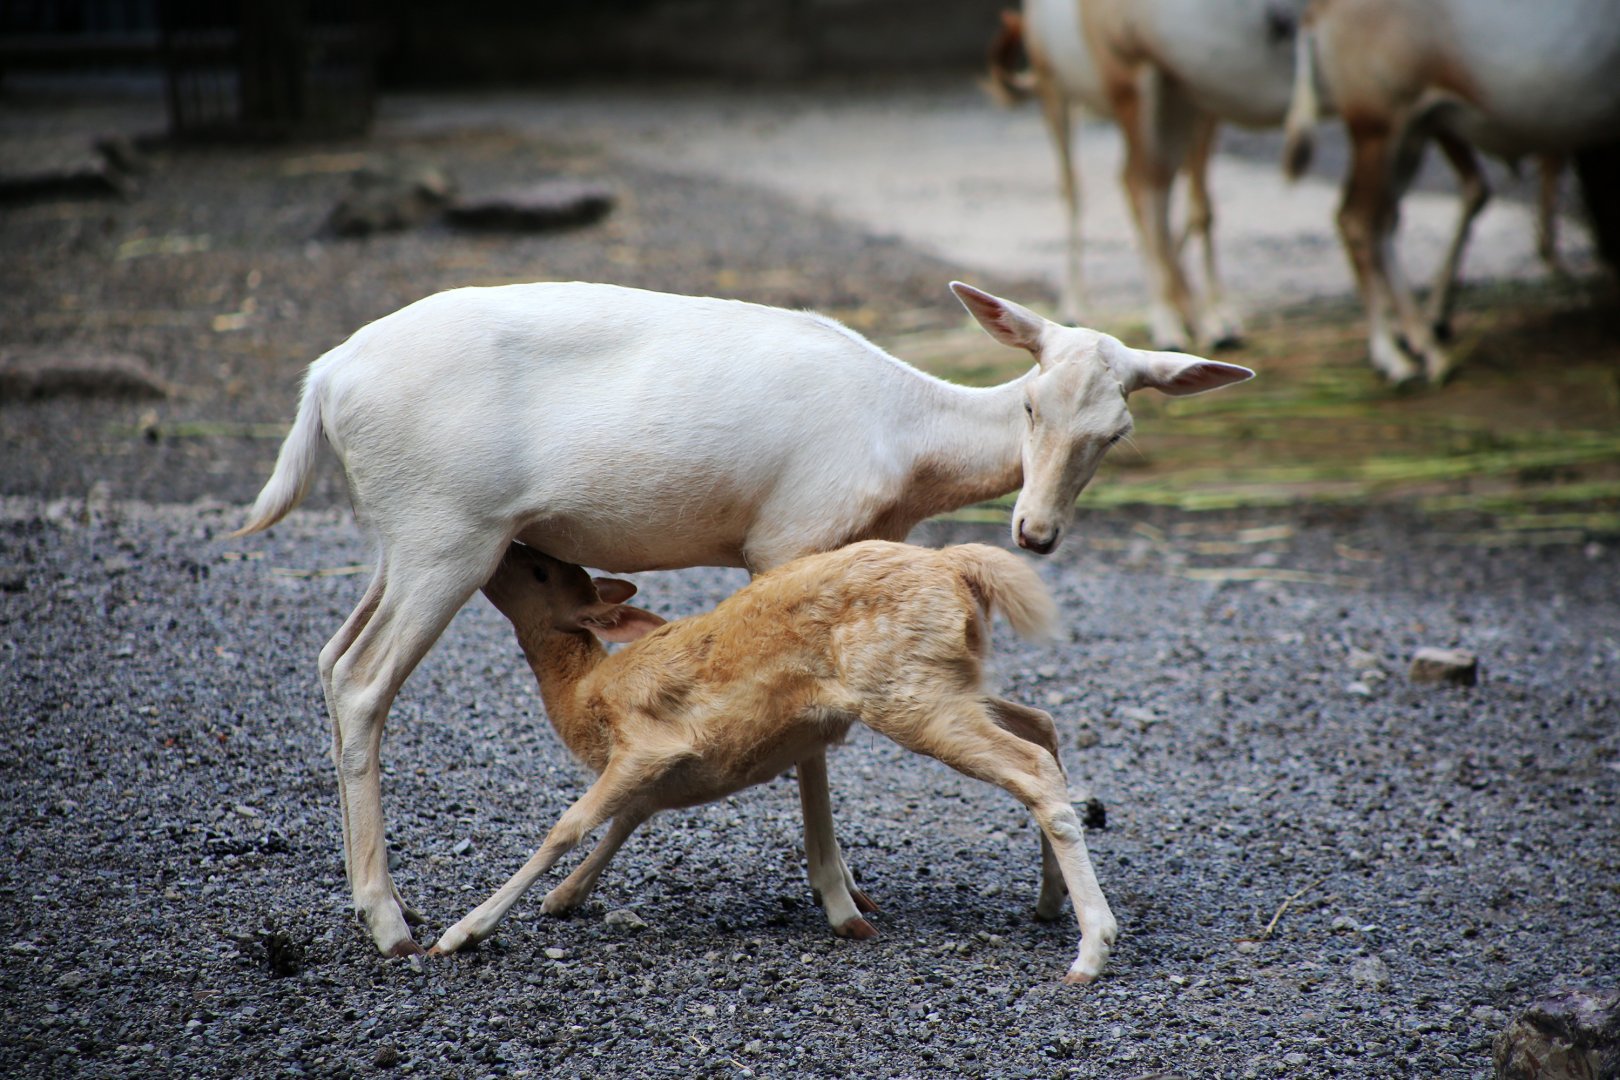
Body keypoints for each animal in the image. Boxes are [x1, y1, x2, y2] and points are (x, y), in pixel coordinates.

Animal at [431, 540, 1118, 984]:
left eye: (540, 572)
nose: (506, 548)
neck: (582, 696)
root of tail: (956, 567)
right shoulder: (668, 772)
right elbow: (627, 818)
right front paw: (565, 897)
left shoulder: (648, 739)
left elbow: (570, 824)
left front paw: (463, 932)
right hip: (945, 681)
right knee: (1042, 726)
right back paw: (1049, 900)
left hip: (909, 693)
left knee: (1032, 765)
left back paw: (1091, 950)